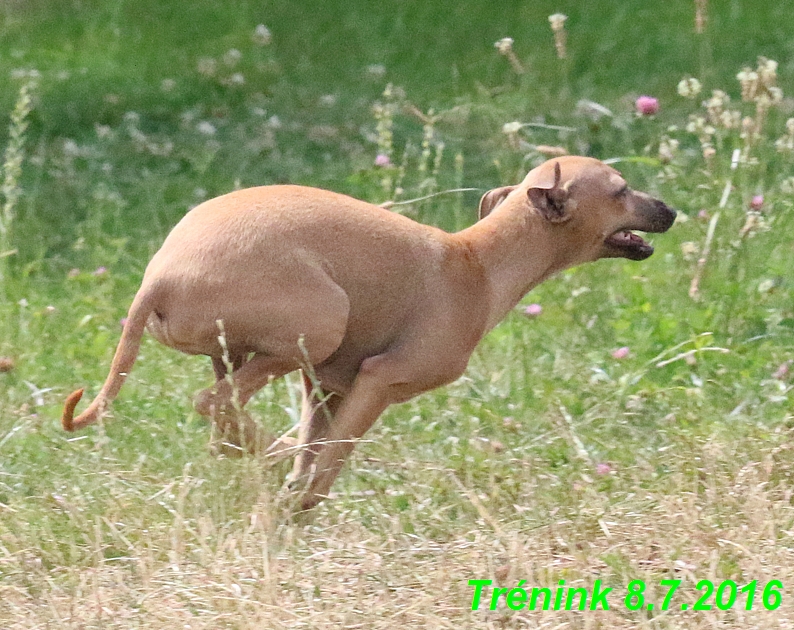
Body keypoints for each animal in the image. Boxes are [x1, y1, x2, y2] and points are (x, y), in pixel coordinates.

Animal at [60, 157, 676, 508]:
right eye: (621, 190)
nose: (671, 210)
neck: (477, 262)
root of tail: (156, 277)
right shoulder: (378, 381)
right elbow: (327, 463)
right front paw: (299, 501)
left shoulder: (325, 387)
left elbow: (314, 451)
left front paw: (290, 490)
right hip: (322, 321)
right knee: (215, 405)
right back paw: (273, 454)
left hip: (249, 353)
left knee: (225, 425)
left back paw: (267, 455)